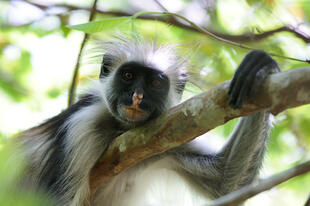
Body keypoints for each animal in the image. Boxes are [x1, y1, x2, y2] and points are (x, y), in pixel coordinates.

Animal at [15, 35, 280, 206]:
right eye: (128, 75)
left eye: (154, 82)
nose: (137, 96)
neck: (121, 129)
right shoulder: (81, 128)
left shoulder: (165, 137)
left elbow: (226, 182)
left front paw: (261, 67)